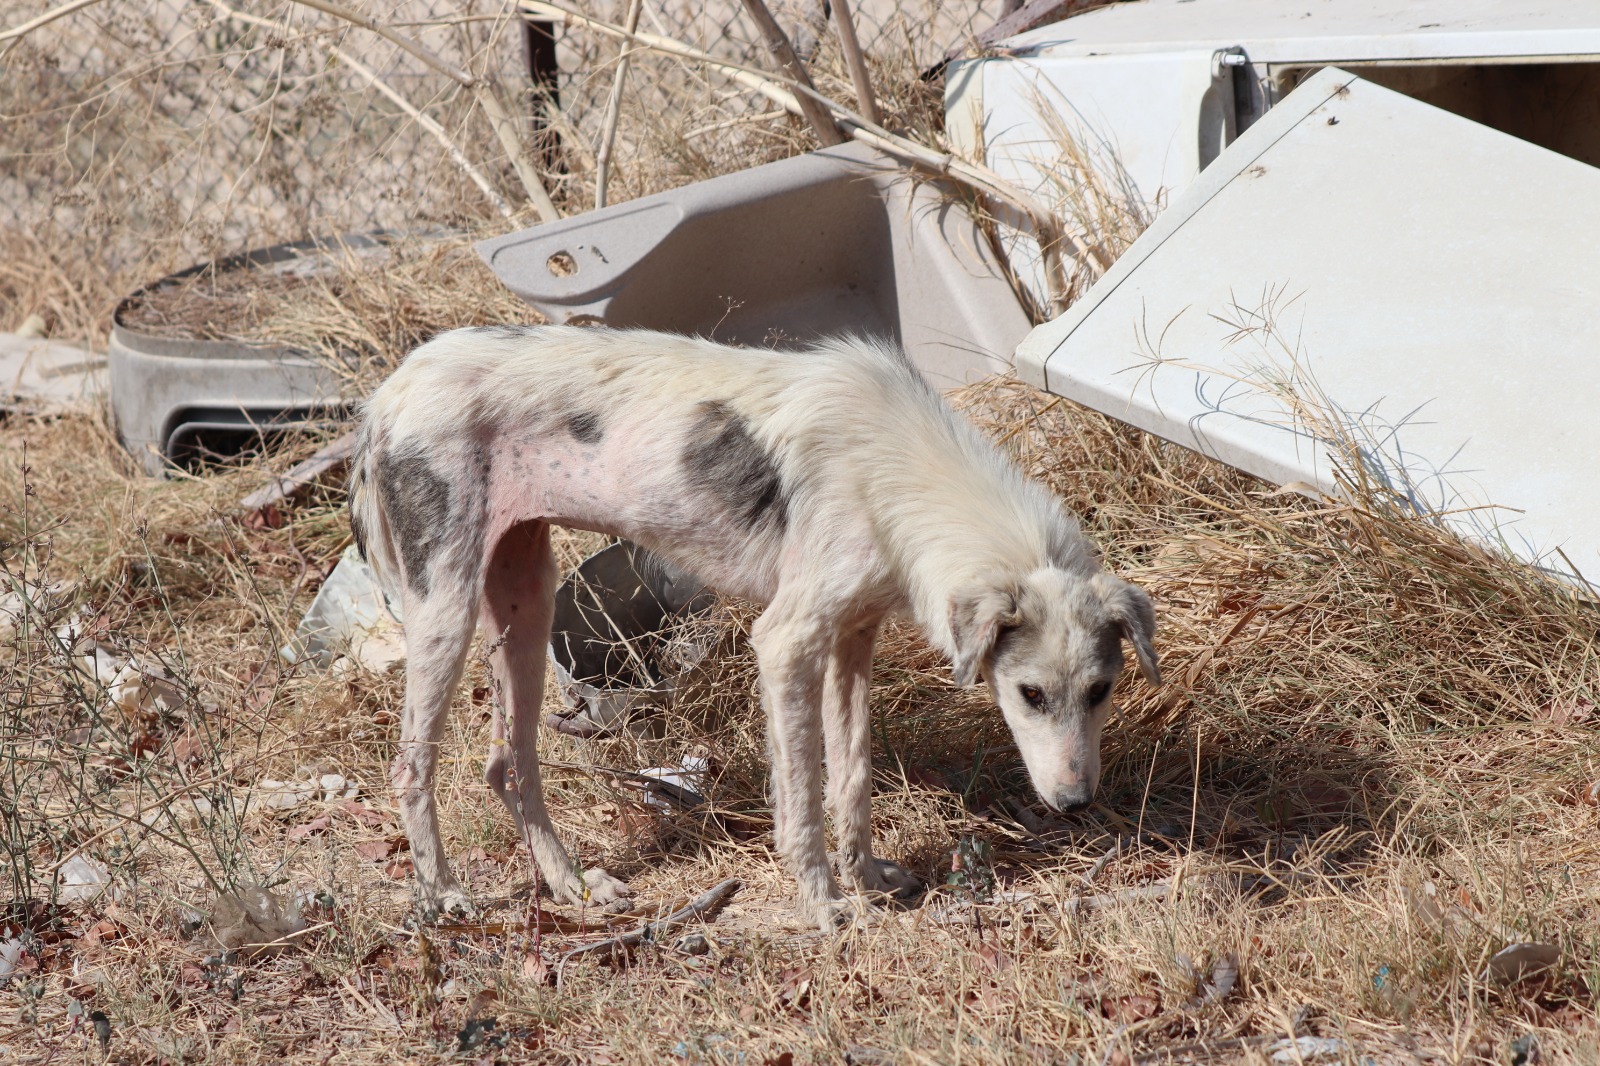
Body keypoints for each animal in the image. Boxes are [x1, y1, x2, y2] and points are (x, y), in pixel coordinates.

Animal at [350, 323, 1158, 921]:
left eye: (1100, 692)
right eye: (1029, 696)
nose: (1077, 804)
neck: (894, 467)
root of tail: (390, 390)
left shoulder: (852, 643)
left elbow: (851, 780)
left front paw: (866, 876)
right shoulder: (786, 646)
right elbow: (801, 797)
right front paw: (824, 904)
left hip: (525, 606)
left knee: (510, 766)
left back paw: (573, 885)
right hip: (445, 614)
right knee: (410, 767)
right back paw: (444, 894)